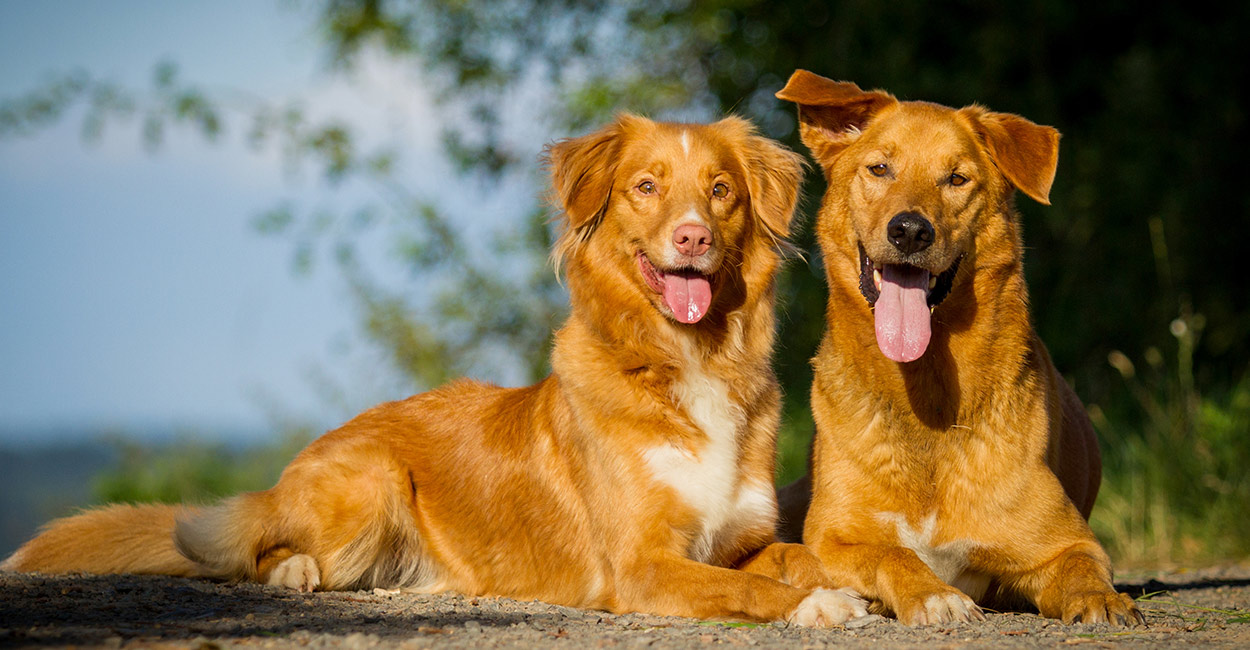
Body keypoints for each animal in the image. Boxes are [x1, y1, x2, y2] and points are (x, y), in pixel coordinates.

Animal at [4, 114, 870, 627]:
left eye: (720, 191)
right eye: (645, 187)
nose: (693, 238)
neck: (686, 361)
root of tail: (298, 465)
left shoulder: (740, 537)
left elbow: (792, 556)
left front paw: (842, 580)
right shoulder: (642, 567)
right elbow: (749, 587)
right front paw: (818, 605)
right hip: (370, 480)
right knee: (245, 553)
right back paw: (294, 574)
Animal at [770, 69, 1145, 625]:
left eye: (957, 179)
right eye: (879, 168)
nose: (909, 230)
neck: (925, 392)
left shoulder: (1067, 542)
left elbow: (1082, 566)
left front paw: (1103, 599)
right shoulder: (832, 539)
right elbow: (894, 553)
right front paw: (933, 595)